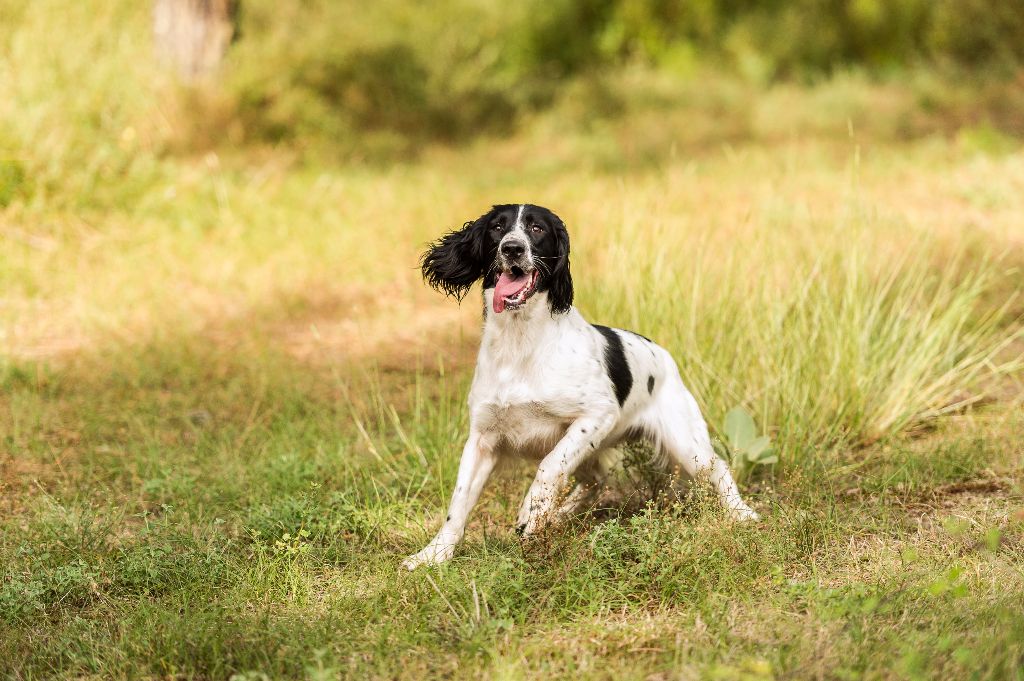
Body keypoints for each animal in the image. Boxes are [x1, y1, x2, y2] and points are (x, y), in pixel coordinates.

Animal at [403, 201, 757, 569]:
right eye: (497, 228)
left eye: (537, 229)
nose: (512, 248)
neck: (520, 344)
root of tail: (662, 352)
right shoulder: (482, 439)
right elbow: (458, 504)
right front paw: (433, 555)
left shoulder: (599, 414)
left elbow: (549, 467)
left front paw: (530, 512)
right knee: (595, 481)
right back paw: (560, 514)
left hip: (686, 444)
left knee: (719, 468)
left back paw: (742, 514)